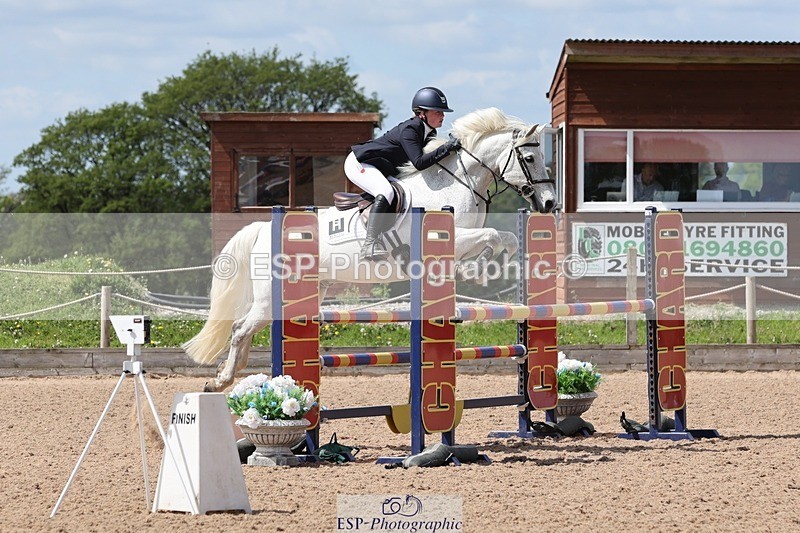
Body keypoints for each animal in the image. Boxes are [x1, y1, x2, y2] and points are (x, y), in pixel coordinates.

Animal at [184, 107, 557, 391]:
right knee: (239, 329)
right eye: (528, 157)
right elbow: (493, 236)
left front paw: (474, 270)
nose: (550, 203)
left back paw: (227, 376)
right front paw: (473, 270)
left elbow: (504, 240)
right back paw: (221, 380)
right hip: (270, 296)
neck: (456, 182)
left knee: (245, 330)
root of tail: (263, 228)